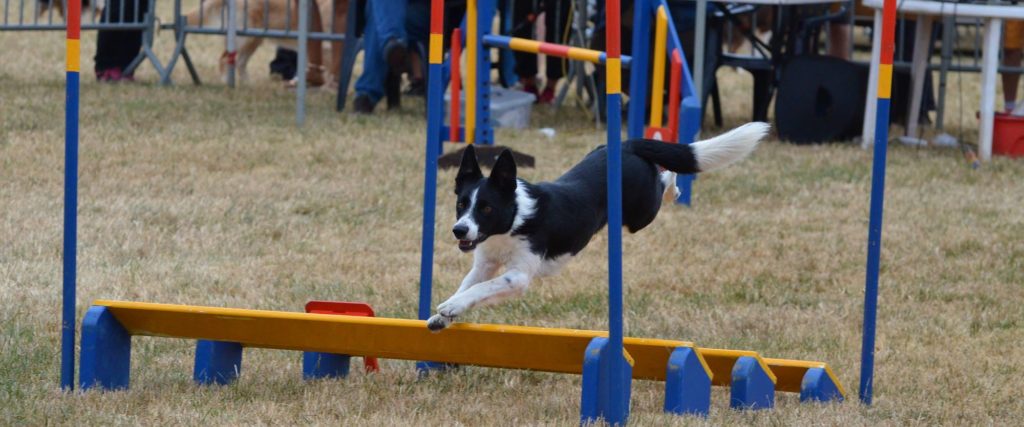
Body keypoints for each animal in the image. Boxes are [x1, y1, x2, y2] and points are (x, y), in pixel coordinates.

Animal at [423, 121, 770, 331]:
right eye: (461, 204)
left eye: (487, 207)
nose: (459, 230)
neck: (512, 220)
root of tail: (626, 146)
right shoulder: (484, 263)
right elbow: (470, 285)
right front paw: (443, 316)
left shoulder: (518, 275)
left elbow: (483, 288)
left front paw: (450, 307)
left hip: (641, 214)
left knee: (665, 176)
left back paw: (672, 179)